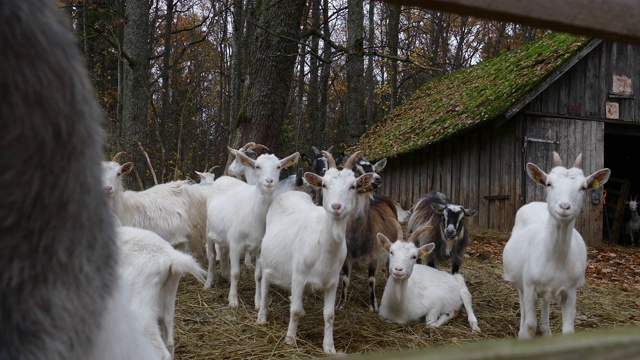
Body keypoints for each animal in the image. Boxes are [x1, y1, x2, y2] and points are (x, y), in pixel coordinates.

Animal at [205, 150, 300, 306]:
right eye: (257, 166)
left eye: (278, 167)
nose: (269, 181)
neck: (254, 216)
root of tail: (223, 178)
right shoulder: (235, 242)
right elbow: (236, 272)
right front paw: (233, 300)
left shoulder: (260, 248)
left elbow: (258, 276)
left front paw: (258, 301)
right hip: (208, 228)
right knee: (212, 256)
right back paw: (208, 282)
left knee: (223, 251)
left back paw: (225, 274)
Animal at [254, 150, 376, 352]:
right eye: (324, 184)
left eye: (353, 186)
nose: (336, 207)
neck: (323, 245)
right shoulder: (298, 275)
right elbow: (294, 311)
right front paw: (290, 340)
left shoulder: (332, 282)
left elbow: (329, 315)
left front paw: (329, 347)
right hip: (266, 260)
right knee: (264, 283)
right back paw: (262, 317)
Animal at [504, 152, 608, 340]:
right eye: (549, 183)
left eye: (583, 187)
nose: (565, 207)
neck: (555, 258)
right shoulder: (529, 285)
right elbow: (530, 324)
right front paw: (525, 335)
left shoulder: (570, 290)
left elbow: (568, 330)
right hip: (519, 280)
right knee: (522, 303)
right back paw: (521, 331)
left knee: (545, 301)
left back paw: (546, 331)